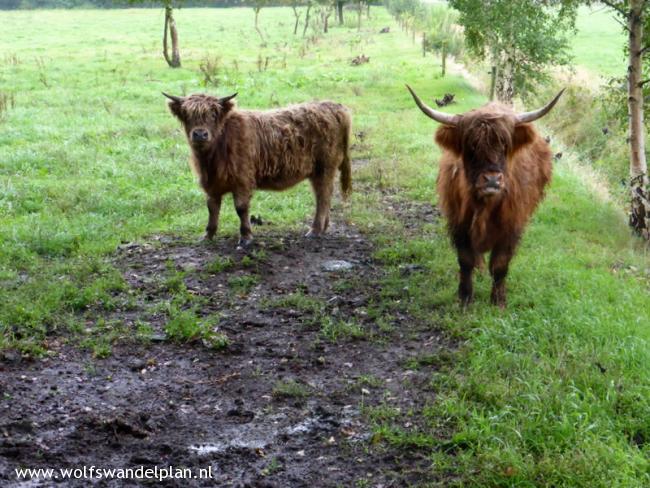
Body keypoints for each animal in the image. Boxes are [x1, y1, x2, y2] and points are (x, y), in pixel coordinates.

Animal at [165, 93, 352, 248]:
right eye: (187, 116)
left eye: (213, 115)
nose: (200, 134)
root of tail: (334, 106)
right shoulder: (211, 184)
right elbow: (212, 208)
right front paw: (208, 236)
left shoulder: (242, 180)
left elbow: (241, 208)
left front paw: (246, 237)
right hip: (319, 172)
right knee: (325, 196)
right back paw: (323, 227)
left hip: (325, 168)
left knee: (322, 197)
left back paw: (315, 230)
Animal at [404, 84, 560, 304]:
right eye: (471, 146)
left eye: (505, 145)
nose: (492, 180)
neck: (485, 205)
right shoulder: (459, 223)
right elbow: (466, 260)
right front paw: (465, 297)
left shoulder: (511, 226)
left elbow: (500, 265)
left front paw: (498, 301)